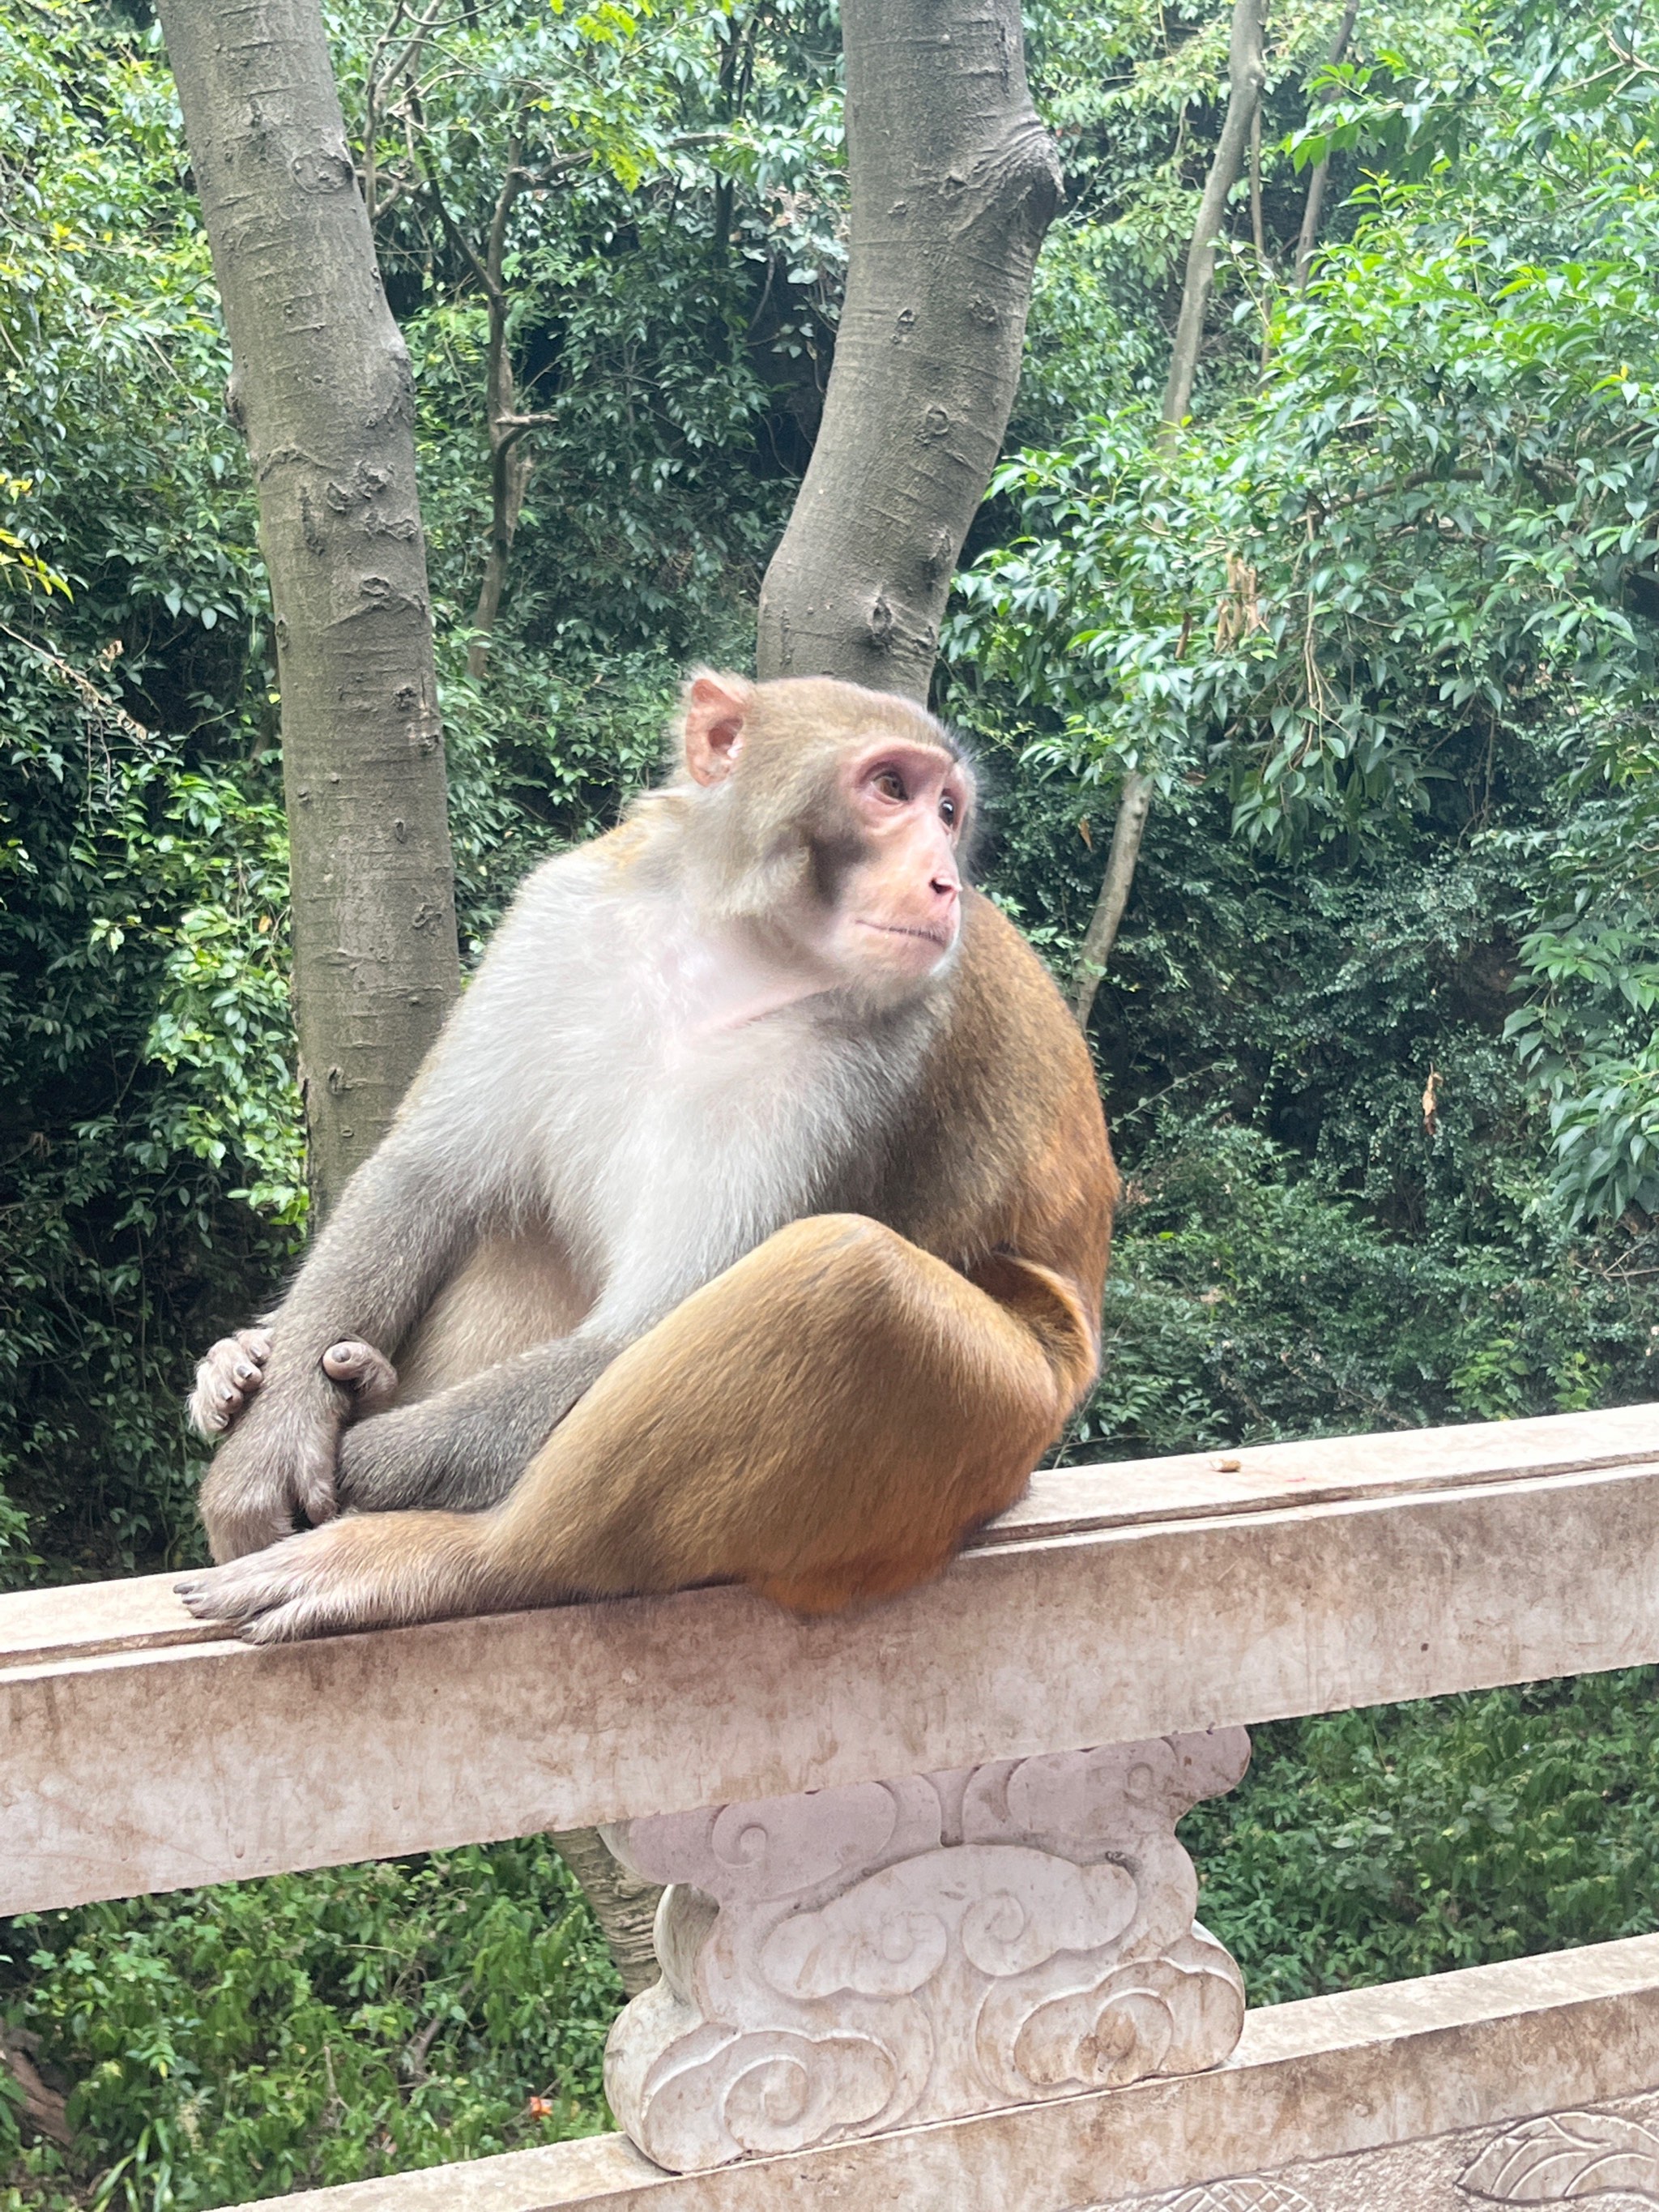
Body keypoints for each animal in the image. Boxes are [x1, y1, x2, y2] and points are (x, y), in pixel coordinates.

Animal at [176, 672, 1124, 1646]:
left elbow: (642, 1326)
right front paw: (270, 1437)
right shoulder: (565, 911)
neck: (730, 947)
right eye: (893, 789)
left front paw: (357, 1440)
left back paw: (471, 1556)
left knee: (851, 1277)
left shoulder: (876, 1056)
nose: (943, 881)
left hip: (993, 1431)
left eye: (947, 810)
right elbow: (425, 1177)